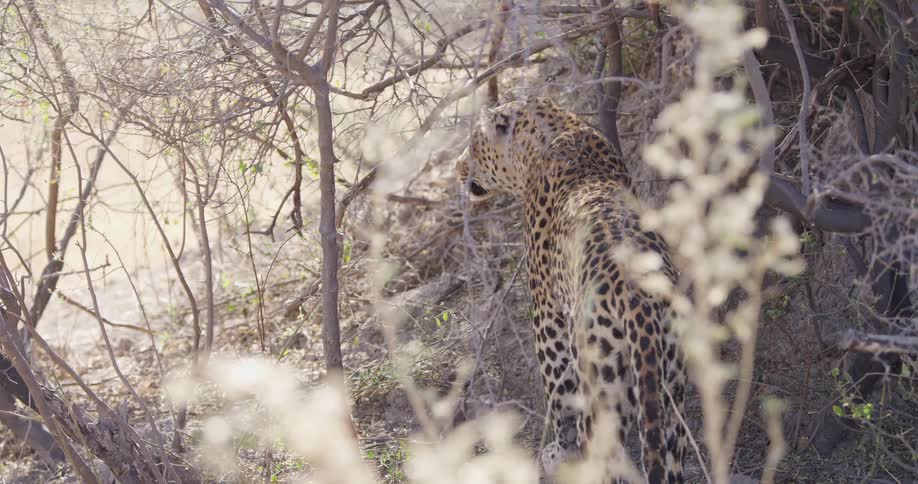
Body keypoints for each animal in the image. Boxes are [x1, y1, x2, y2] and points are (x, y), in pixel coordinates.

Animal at [455, 97, 687, 483]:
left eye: (474, 145)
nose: (457, 168)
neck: (555, 127)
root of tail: (637, 299)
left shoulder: (547, 311)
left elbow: (559, 394)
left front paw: (557, 452)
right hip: (670, 390)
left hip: (602, 392)